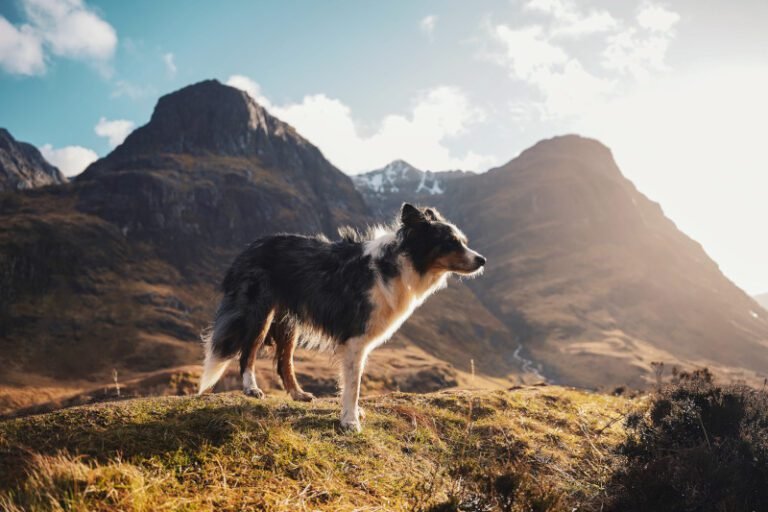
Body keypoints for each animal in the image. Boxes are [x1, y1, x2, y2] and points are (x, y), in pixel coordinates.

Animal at [198, 202, 486, 430]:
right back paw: (251, 388)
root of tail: (249, 247)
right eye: (450, 243)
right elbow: (354, 384)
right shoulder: (356, 338)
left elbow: (352, 382)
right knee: (247, 351)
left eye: (463, 242)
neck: (398, 263)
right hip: (258, 311)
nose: (482, 260)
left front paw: (352, 415)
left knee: (283, 361)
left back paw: (298, 394)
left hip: (288, 322)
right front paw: (350, 421)